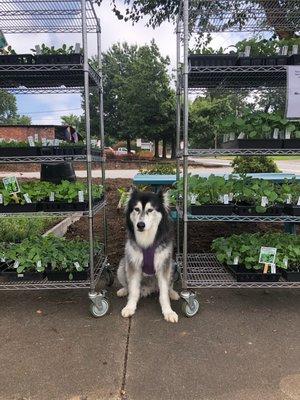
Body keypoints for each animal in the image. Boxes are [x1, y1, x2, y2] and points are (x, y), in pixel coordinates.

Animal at [116, 189, 178, 324]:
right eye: (136, 209)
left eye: (150, 210)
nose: (140, 225)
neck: (147, 239)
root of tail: (150, 288)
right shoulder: (133, 264)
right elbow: (133, 290)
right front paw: (130, 307)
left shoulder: (164, 264)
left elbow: (164, 292)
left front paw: (168, 311)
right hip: (122, 265)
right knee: (127, 284)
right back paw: (124, 290)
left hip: (173, 265)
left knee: (168, 286)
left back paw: (173, 293)